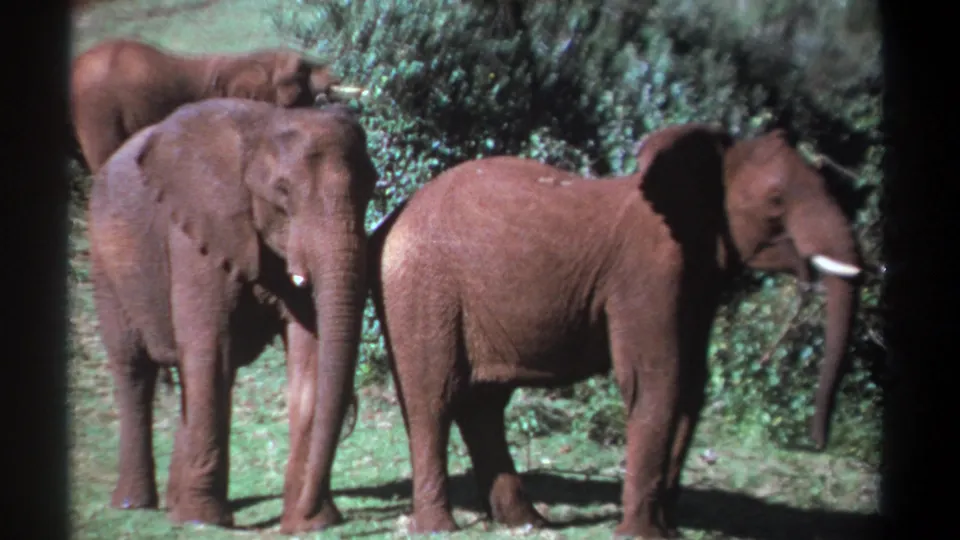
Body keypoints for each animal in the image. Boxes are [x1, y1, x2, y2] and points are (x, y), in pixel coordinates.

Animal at [88, 97, 377, 533]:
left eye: (370, 187)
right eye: (282, 192)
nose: (310, 513)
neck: (265, 125)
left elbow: (309, 353)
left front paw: (310, 524)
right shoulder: (196, 231)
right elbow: (210, 347)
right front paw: (205, 521)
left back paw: (174, 506)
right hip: (106, 264)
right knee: (135, 369)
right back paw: (135, 505)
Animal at [365, 123, 863, 538]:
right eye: (777, 200)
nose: (819, 441)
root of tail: (391, 219)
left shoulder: (694, 280)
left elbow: (690, 387)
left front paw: (667, 531)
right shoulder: (647, 273)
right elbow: (656, 382)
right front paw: (642, 535)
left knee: (483, 405)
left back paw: (528, 522)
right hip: (421, 288)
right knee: (434, 398)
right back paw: (440, 528)